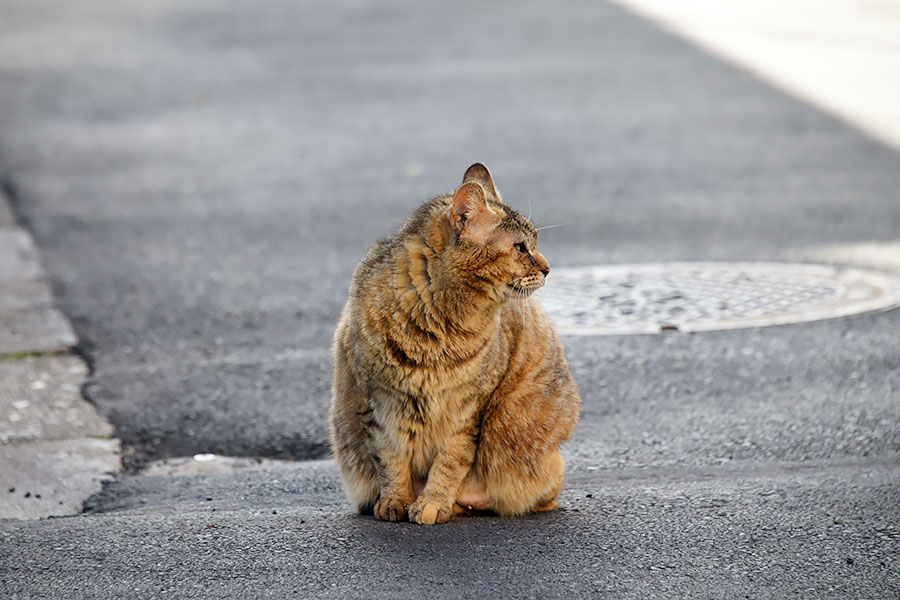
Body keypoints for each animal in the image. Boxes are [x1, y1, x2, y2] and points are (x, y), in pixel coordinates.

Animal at [326, 162, 580, 524]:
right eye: (520, 247)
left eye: (535, 242)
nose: (547, 268)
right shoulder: (373, 404)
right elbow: (390, 462)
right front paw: (395, 500)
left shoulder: (468, 410)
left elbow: (449, 463)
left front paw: (432, 502)